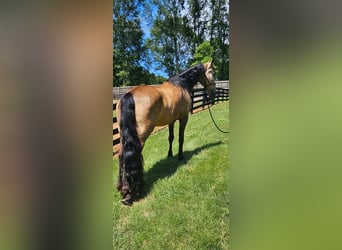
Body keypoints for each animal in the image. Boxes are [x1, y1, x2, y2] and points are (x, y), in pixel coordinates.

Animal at [116, 61, 215, 205]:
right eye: (212, 72)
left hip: (123, 134)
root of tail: (129, 94)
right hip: (141, 136)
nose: (213, 93)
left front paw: (170, 154)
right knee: (132, 154)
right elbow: (180, 138)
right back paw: (131, 192)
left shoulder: (171, 120)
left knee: (121, 155)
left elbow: (171, 137)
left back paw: (121, 187)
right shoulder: (184, 118)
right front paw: (180, 156)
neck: (181, 84)